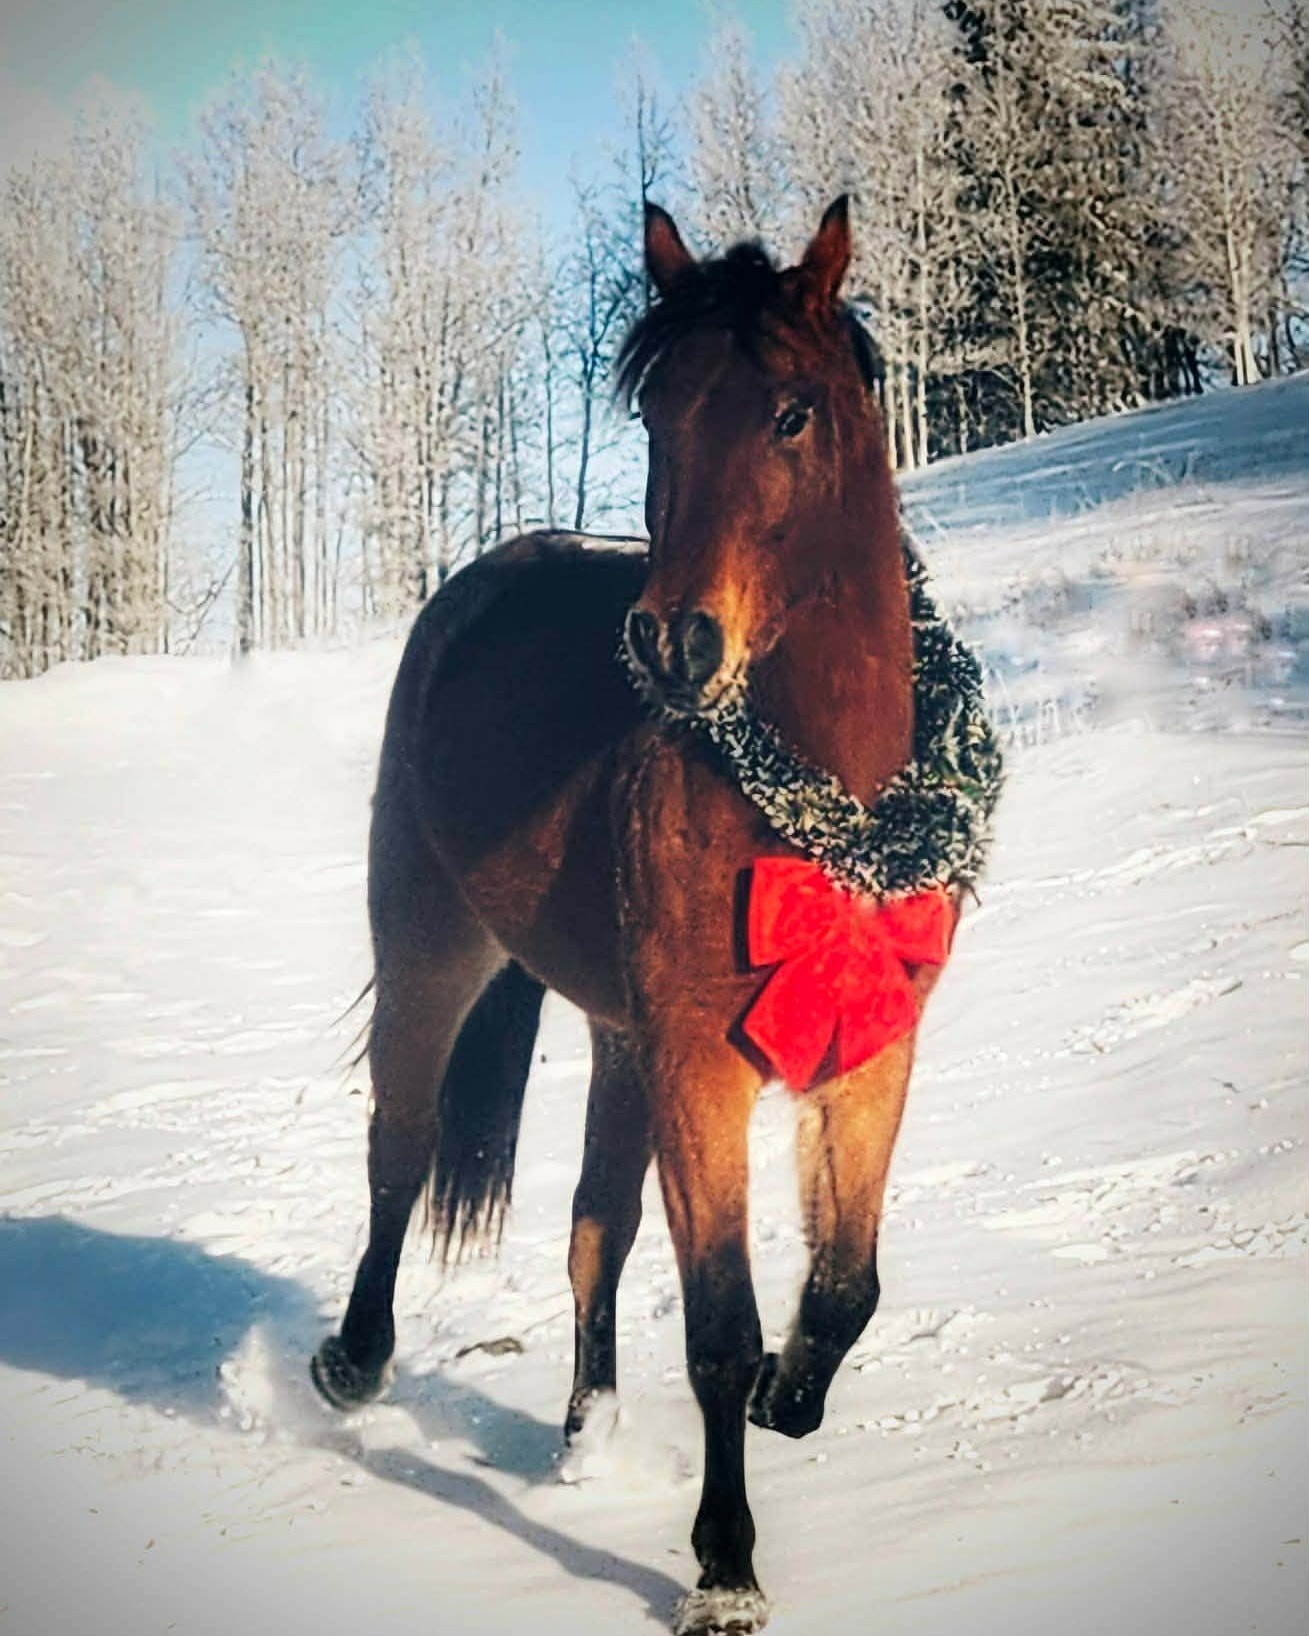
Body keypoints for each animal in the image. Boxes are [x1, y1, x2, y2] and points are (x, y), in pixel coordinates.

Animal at [313, 198, 987, 1635]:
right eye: (657, 413)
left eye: (791, 413)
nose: (674, 644)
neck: (820, 805)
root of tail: (480, 581)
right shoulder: (701, 1070)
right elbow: (720, 1329)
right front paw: (724, 1568)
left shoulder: (868, 1055)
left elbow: (844, 1285)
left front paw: (794, 1394)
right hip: (435, 948)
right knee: (400, 1153)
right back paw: (354, 1361)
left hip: (617, 1037)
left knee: (592, 1232)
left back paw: (586, 1436)